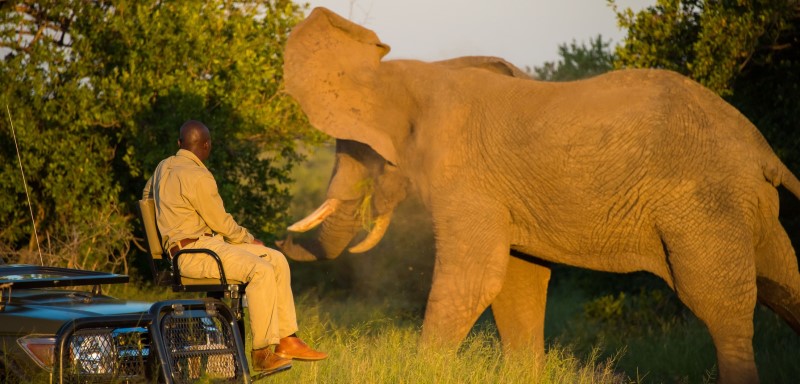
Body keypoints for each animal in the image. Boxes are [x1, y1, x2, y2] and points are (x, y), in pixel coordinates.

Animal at [278, 6, 800, 384]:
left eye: (358, 152)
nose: (276, 241)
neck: (409, 75)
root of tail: (762, 149)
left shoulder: (465, 178)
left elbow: (475, 278)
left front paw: (421, 371)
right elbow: (517, 280)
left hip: (705, 204)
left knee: (720, 307)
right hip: (746, 204)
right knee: (784, 281)